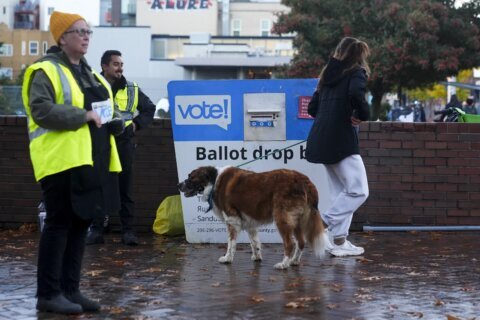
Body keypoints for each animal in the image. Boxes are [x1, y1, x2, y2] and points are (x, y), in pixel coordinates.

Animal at [177, 166, 326, 268]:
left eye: (191, 177)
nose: (179, 185)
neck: (214, 183)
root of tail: (302, 179)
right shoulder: (250, 224)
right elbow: (254, 243)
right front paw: (257, 257)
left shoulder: (232, 221)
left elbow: (231, 243)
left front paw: (227, 258)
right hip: (296, 221)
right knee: (301, 242)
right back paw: (294, 261)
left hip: (282, 218)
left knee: (291, 243)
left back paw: (284, 264)